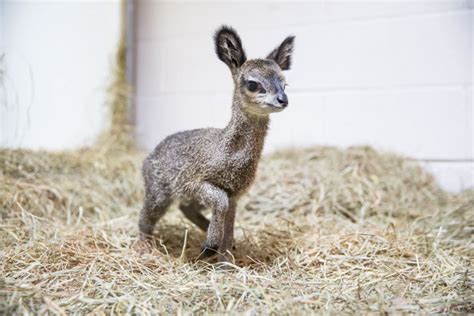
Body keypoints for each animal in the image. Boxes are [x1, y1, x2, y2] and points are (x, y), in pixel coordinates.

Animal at [137, 25, 294, 262]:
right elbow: (220, 203)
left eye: (285, 84)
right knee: (146, 218)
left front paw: (224, 261)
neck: (227, 150)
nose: (282, 100)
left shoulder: (234, 194)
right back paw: (145, 246)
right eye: (253, 84)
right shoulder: (197, 183)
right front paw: (210, 247)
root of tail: (149, 156)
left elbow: (228, 228)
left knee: (185, 208)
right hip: (159, 192)